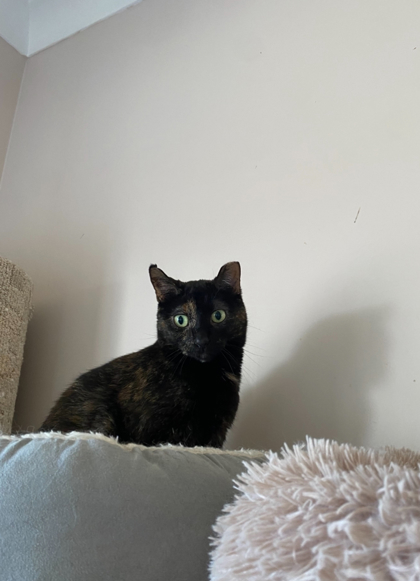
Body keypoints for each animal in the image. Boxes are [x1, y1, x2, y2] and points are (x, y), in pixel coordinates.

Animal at [40, 262, 247, 448]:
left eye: (218, 315)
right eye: (181, 319)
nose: (201, 340)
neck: (207, 375)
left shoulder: (216, 434)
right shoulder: (155, 432)